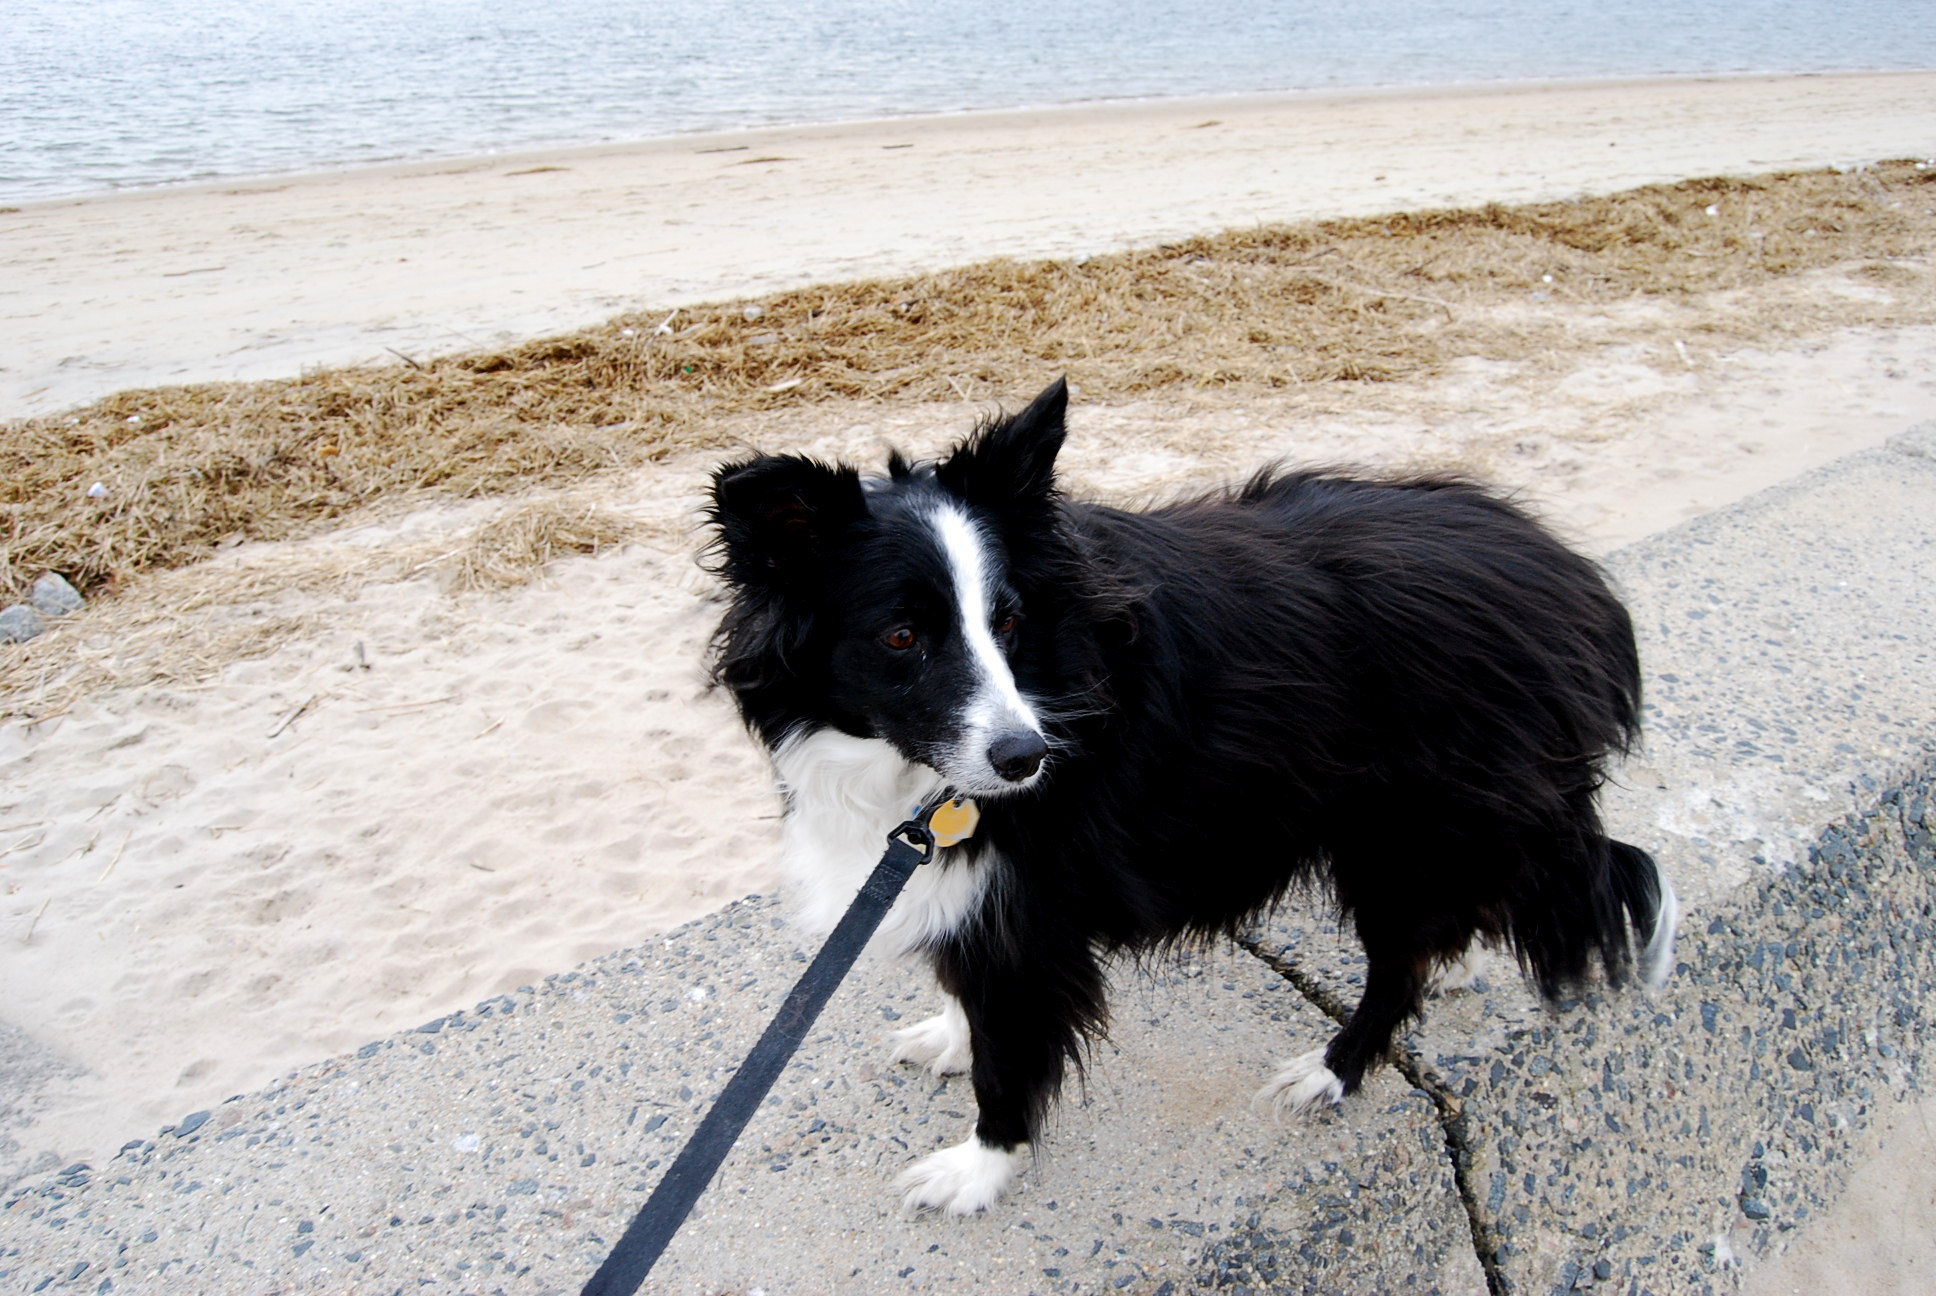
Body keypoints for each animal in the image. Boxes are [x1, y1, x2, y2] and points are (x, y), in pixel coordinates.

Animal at [706, 378, 1678, 1214]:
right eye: (902, 636)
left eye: (1009, 620)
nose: (1028, 760)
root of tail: (1574, 583)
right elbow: (962, 973)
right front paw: (950, 1034)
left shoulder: (1034, 899)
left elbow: (1010, 1045)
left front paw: (979, 1167)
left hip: (1407, 824)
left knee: (1397, 967)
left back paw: (1334, 1068)